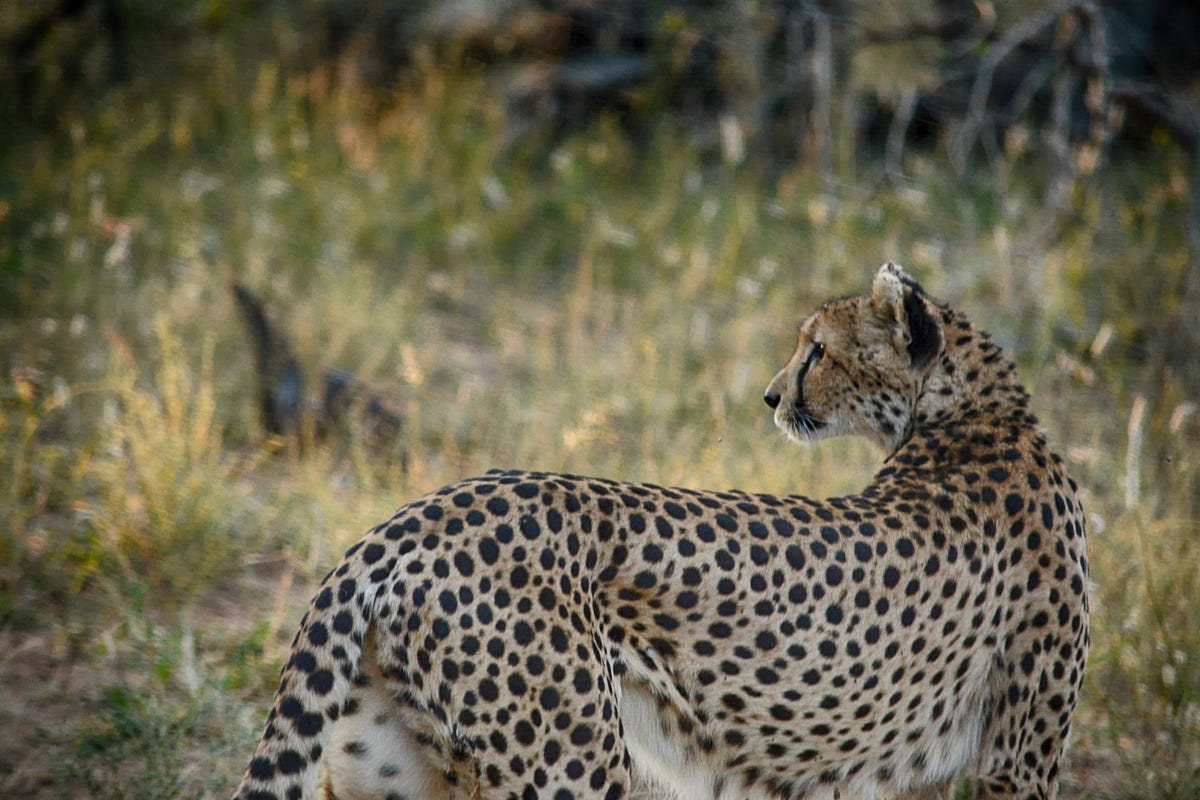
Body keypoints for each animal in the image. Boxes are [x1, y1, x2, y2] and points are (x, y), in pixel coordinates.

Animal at [232, 262, 1089, 800]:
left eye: (818, 350)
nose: (771, 396)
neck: (972, 415)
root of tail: (410, 518)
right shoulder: (1015, 764)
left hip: (394, 769)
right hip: (569, 766)